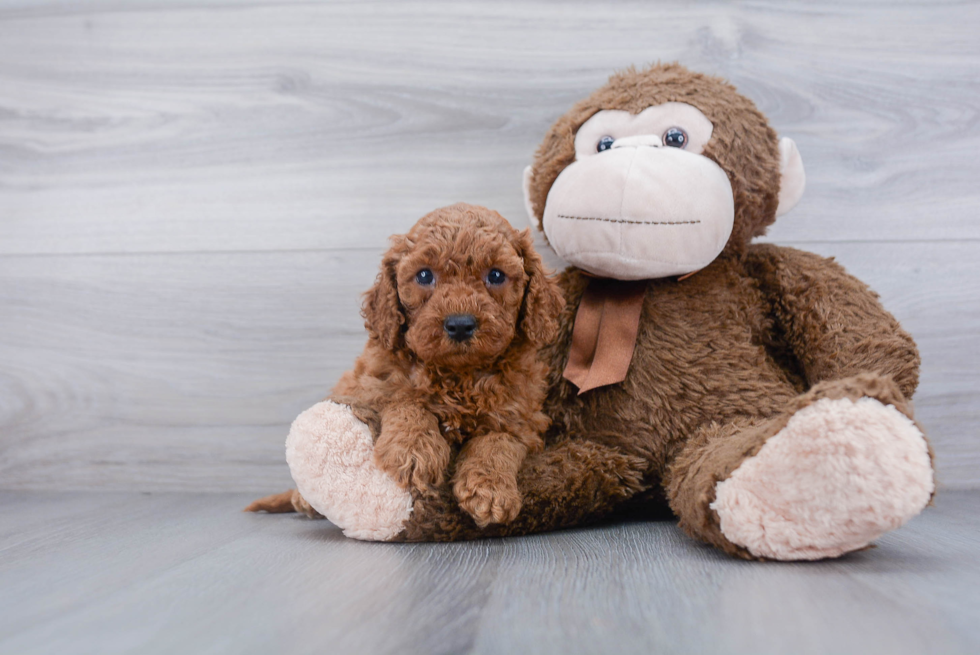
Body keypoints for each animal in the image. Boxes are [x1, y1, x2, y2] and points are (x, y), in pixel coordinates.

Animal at [324, 202, 564, 524]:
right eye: (424, 276)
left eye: (496, 275)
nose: (460, 325)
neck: (458, 376)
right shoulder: (370, 387)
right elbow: (405, 400)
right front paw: (414, 450)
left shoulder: (521, 420)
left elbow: (497, 443)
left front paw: (490, 488)